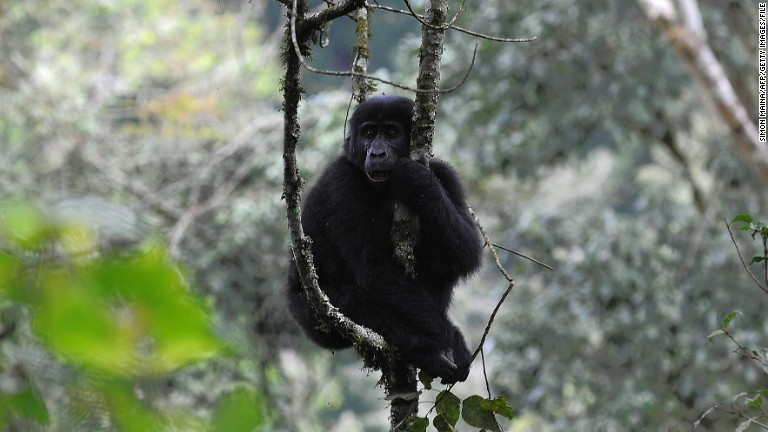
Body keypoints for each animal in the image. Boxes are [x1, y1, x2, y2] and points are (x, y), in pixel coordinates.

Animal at [284, 94, 484, 384]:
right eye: (368, 134)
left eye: (391, 133)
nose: (376, 153)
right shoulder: (342, 182)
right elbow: (376, 270)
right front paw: (452, 340)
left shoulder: (444, 173)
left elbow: (466, 252)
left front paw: (418, 181)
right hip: (308, 315)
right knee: (355, 303)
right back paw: (424, 351)